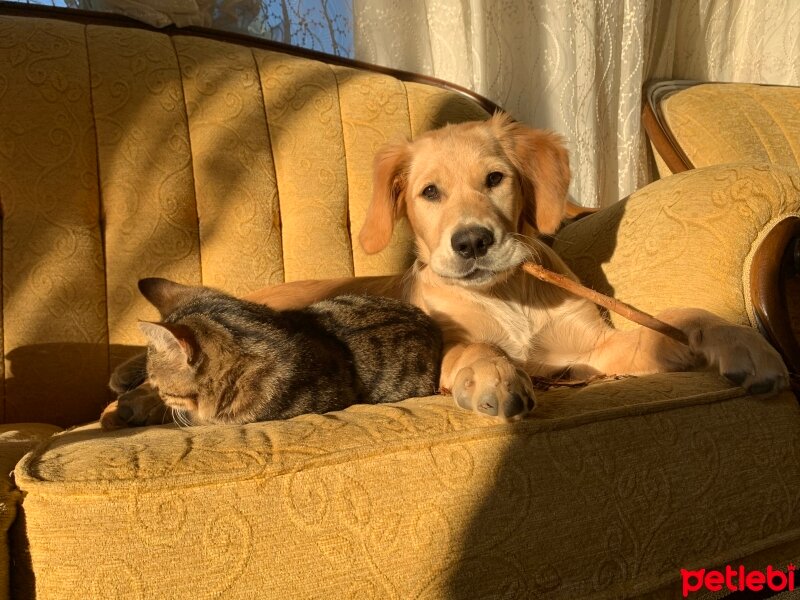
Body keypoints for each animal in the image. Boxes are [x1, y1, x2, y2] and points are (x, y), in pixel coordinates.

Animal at [248, 113, 788, 422]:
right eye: (429, 192)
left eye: (495, 179)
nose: (472, 242)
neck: (508, 294)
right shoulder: (443, 351)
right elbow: (478, 347)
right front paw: (496, 376)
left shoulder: (595, 351)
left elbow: (679, 317)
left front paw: (742, 342)